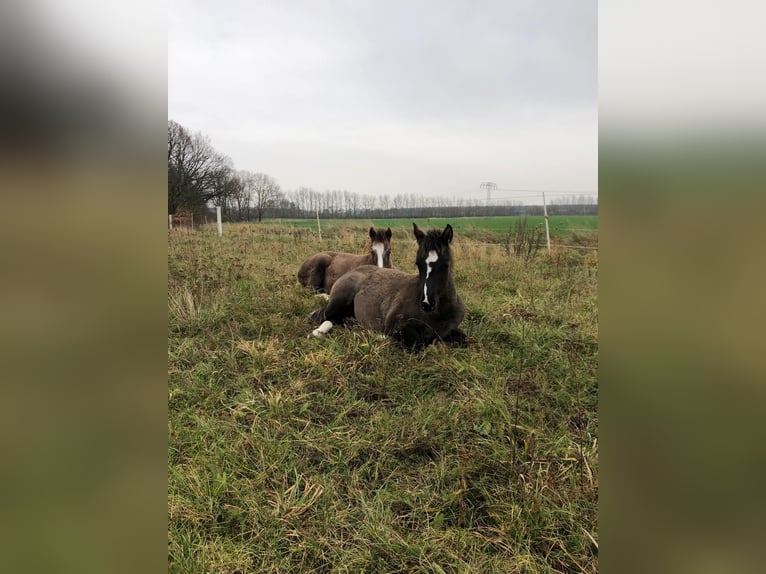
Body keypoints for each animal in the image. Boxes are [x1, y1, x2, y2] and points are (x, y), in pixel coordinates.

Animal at [309, 223, 466, 351]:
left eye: (445, 264)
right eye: (418, 264)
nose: (427, 303)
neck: (437, 314)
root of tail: (352, 271)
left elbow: (462, 339)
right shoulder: (396, 325)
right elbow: (415, 344)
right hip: (340, 300)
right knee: (322, 316)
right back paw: (319, 332)